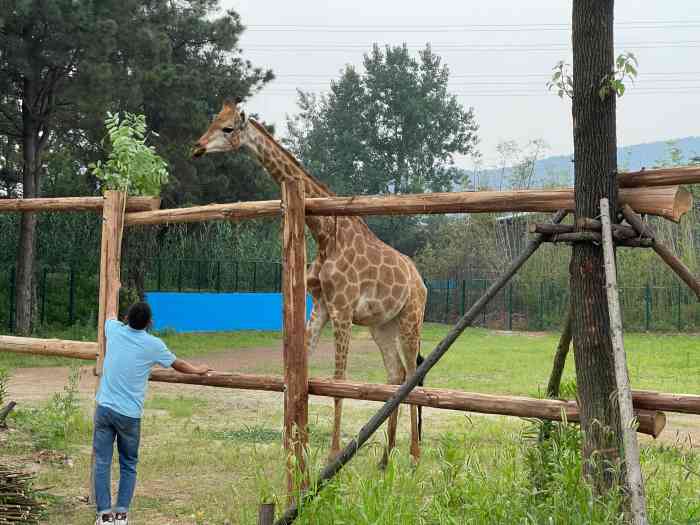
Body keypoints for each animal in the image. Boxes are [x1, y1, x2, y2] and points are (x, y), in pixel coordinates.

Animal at [194, 98, 430, 462]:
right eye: (212, 122)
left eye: (228, 128)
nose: (197, 147)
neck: (324, 233)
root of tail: (421, 282)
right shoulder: (321, 305)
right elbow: (299, 373)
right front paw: (292, 449)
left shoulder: (343, 309)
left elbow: (339, 382)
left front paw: (333, 454)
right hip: (382, 325)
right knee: (397, 374)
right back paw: (387, 456)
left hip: (410, 318)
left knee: (413, 375)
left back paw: (414, 456)